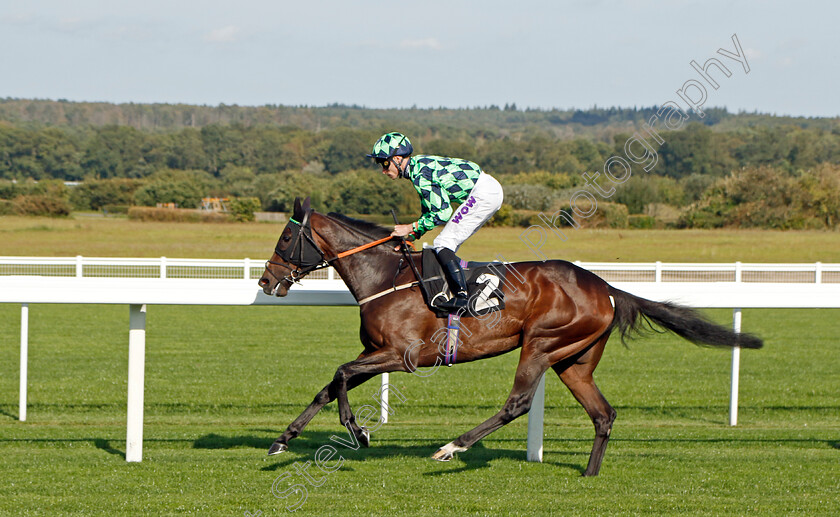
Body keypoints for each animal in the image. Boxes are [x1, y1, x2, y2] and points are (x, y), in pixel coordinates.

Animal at [260, 198, 760, 476]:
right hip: (573, 360)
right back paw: (589, 475)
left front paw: (358, 430)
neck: (386, 275)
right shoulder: (375, 351)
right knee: (603, 414)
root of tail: (605, 287)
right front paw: (283, 439)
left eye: (285, 239)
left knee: (517, 403)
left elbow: (341, 375)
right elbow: (329, 385)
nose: (266, 281)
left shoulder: (400, 355)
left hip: (541, 343)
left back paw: (452, 447)